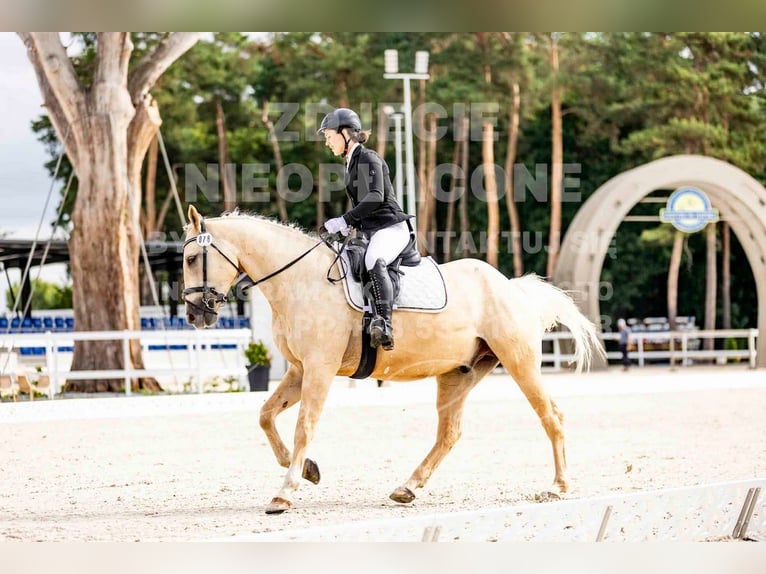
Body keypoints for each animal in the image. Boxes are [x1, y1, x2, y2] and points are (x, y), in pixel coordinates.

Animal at [182, 205, 605, 514]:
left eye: (189, 258)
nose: (194, 314)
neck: (299, 281)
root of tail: (511, 287)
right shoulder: (300, 370)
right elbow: (266, 416)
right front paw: (308, 470)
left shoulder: (319, 368)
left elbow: (304, 427)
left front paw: (285, 492)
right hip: (458, 373)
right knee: (449, 434)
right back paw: (408, 488)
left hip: (519, 362)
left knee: (551, 416)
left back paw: (558, 487)